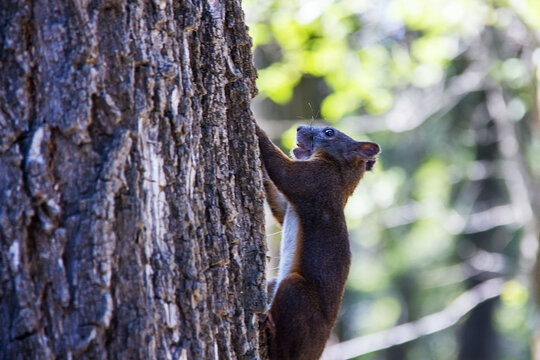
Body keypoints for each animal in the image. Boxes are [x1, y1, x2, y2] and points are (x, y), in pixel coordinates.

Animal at [254, 122, 378, 358]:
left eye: (329, 133)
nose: (299, 127)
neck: (339, 175)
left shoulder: (315, 182)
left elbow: (283, 171)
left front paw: (254, 127)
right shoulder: (292, 205)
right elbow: (280, 207)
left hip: (295, 293)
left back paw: (269, 329)